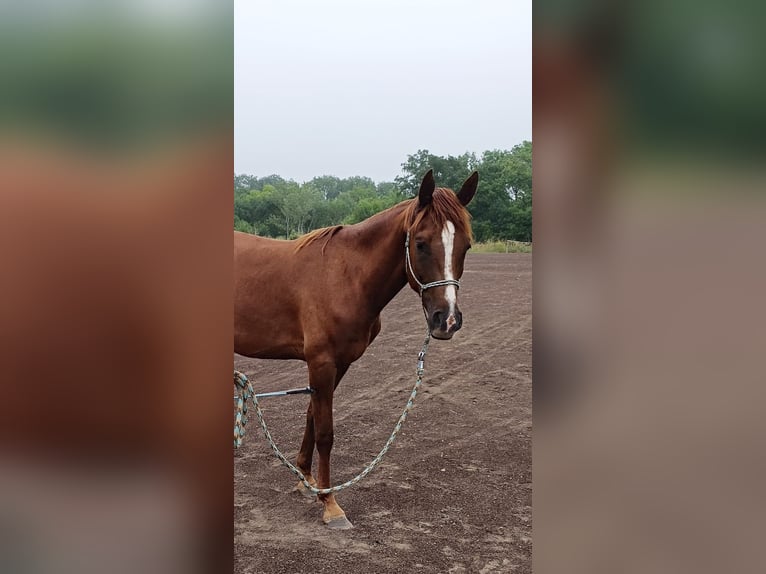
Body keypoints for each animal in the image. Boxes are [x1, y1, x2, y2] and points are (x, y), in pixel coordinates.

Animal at [234, 170, 480, 532]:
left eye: (465, 245)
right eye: (420, 243)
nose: (446, 320)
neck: (346, 276)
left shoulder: (339, 364)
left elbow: (311, 416)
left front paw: (306, 480)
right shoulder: (321, 362)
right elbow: (326, 432)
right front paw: (330, 504)